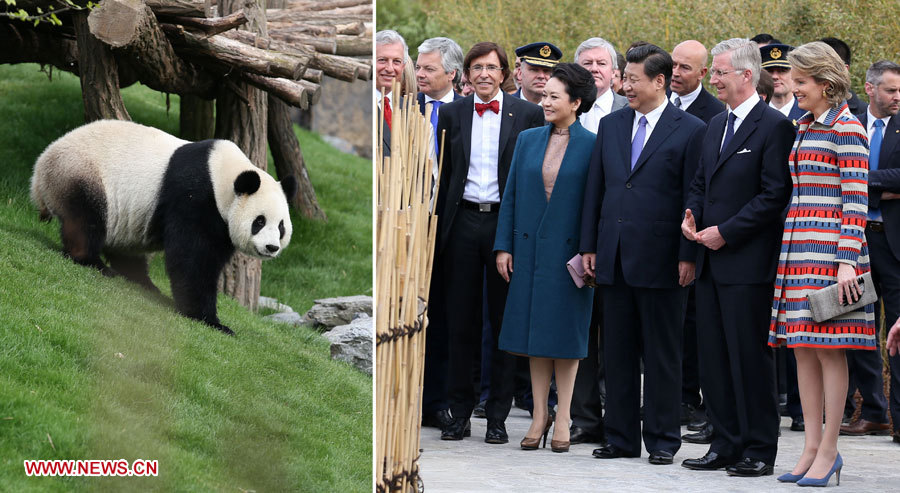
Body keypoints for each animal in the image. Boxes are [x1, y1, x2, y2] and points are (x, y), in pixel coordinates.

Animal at [29, 119, 298, 334]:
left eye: (281, 226)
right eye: (259, 221)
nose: (271, 247)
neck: (223, 175)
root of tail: (39, 171)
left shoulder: (220, 222)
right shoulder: (195, 197)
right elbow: (192, 260)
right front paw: (210, 320)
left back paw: (143, 282)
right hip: (81, 173)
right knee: (85, 220)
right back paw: (92, 262)